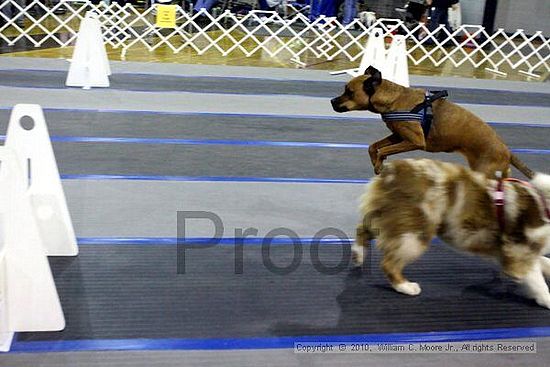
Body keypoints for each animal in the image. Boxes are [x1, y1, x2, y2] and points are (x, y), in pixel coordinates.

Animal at [332, 67, 536, 181]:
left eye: (349, 92)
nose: (332, 101)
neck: (394, 98)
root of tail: (507, 152)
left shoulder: (414, 141)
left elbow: (383, 151)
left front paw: (378, 165)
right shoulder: (398, 136)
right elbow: (373, 147)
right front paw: (376, 162)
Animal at [354, 160, 550, 310]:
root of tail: (391, 170)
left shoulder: (519, 253)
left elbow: (544, 262)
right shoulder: (518, 253)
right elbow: (538, 281)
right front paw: (546, 299)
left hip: (384, 216)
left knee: (362, 229)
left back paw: (358, 256)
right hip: (414, 232)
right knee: (389, 263)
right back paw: (406, 286)